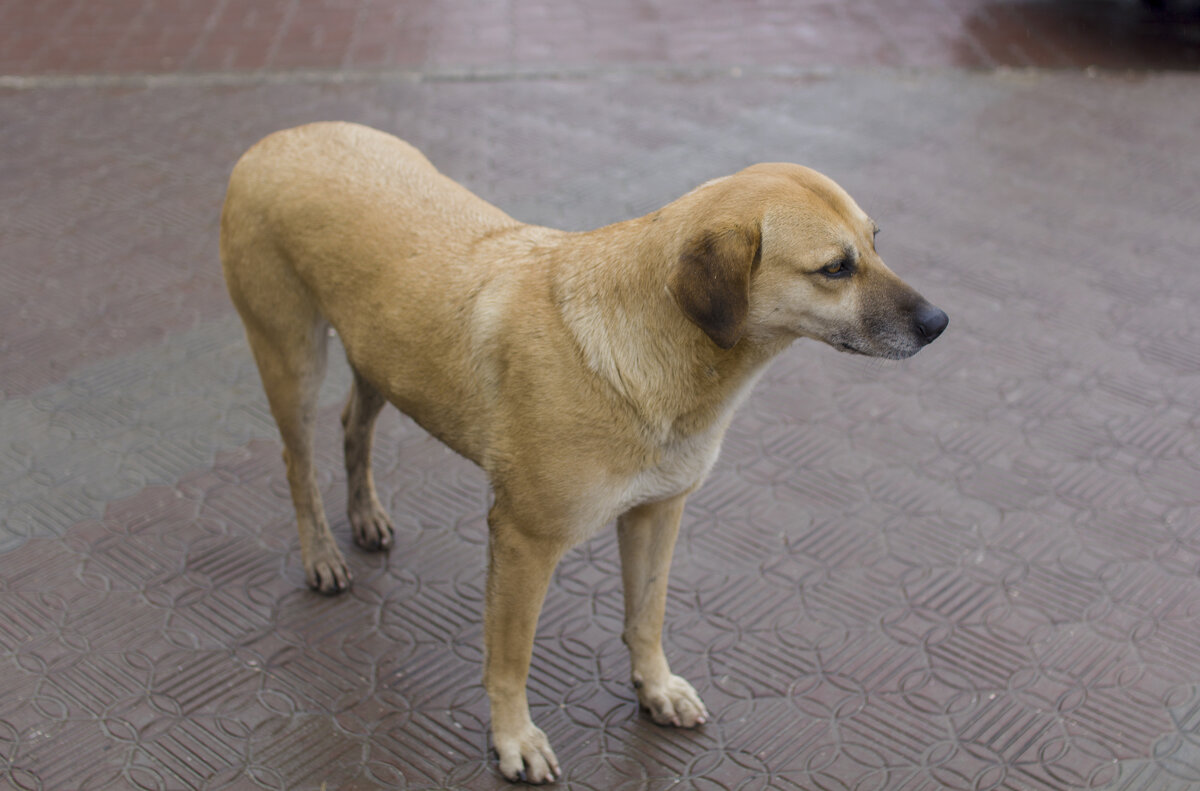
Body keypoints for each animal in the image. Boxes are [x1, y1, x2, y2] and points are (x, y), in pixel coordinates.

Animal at [216, 120, 945, 782]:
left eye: (876, 243)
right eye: (835, 268)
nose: (939, 323)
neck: (659, 352)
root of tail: (278, 138)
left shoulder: (658, 512)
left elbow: (646, 615)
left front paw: (655, 687)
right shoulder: (523, 540)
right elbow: (510, 658)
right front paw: (514, 738)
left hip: (380, 356)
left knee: (352, 426)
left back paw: (365, 514)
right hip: (290, 355)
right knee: (298, 461)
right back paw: (321, 554)